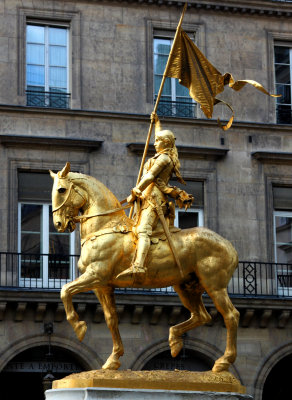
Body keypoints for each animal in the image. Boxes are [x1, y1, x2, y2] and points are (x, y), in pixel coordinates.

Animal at [50, 162, 238, 372]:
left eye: (61, 189)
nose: (59, 224)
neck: (106, 226)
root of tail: (229, 245)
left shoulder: (95, 275)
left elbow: (65, 290)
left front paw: (79, 327)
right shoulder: (102, 286)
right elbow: (111, 319)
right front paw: (113, 359)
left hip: (214, 286)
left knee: (231, 315)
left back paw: (223, 361)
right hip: (185, 286)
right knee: (202, 316)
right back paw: (174, 341)